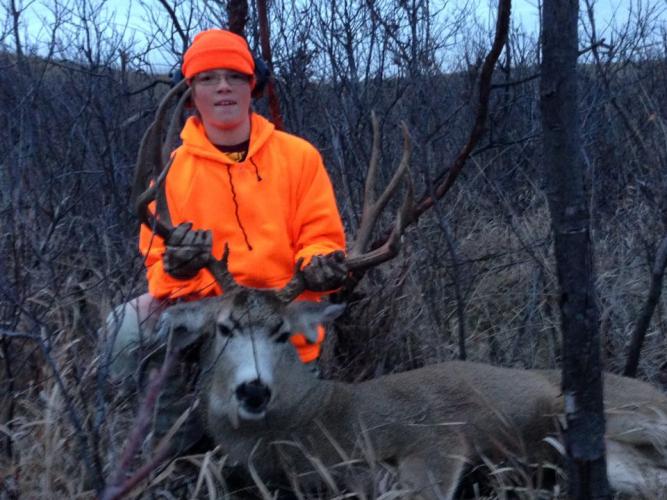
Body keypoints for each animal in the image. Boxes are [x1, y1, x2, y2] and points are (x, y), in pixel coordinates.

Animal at [129, 81, 667, 499]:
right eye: (224, 327)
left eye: (283, 332)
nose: (255, 390)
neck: (317, 427)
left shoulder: (434, 440)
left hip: (611, 412)